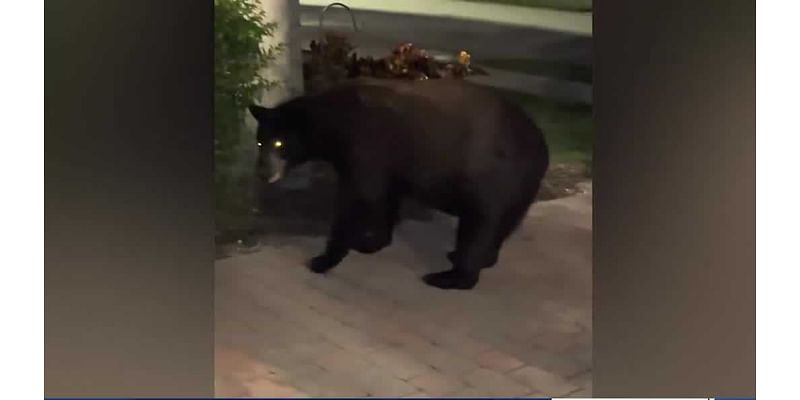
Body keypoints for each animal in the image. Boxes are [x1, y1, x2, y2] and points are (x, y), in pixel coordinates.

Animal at [250, 79, 552, 290]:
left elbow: (358, 197)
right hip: (519, 188)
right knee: (503, 223)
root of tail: (541, 145)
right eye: (260, 142)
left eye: (280, 144)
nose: (262, 173)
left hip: (492, 179)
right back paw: (475, 257)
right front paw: (371, 242)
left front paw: (324, 259)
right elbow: (387, 197)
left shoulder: (366, 148)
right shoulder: (391, 165)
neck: (337, 122)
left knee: (480, 223)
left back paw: (449, 276)